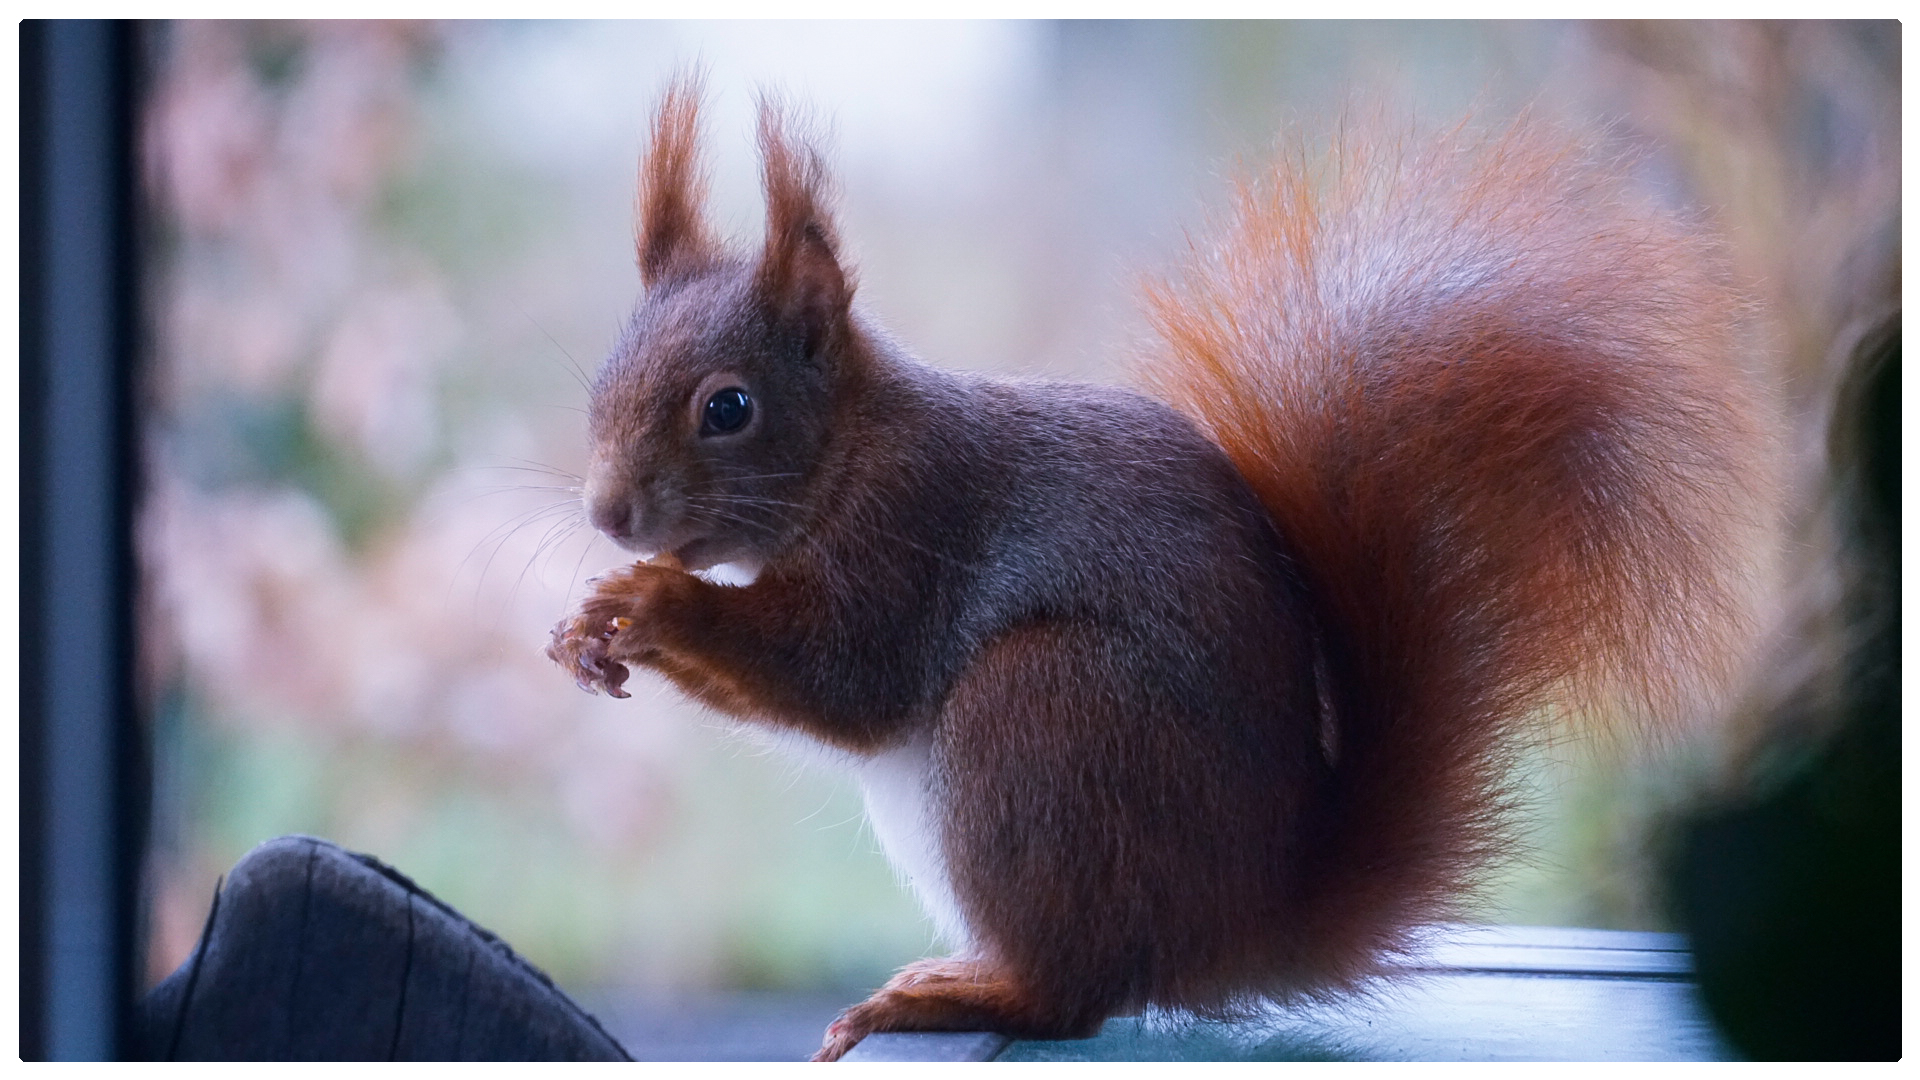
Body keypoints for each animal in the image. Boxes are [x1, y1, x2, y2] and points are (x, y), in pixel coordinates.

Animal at [545, 79, 1766, 1053]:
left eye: (729, 409)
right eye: (602, 376)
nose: (609, 514)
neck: (851, 447)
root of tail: (1241, 926)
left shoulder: (912, 534)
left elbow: (845, 674)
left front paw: (652, 601)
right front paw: (583, 625)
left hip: (1047, 716)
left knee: (1076, 992)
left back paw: (964, 993)